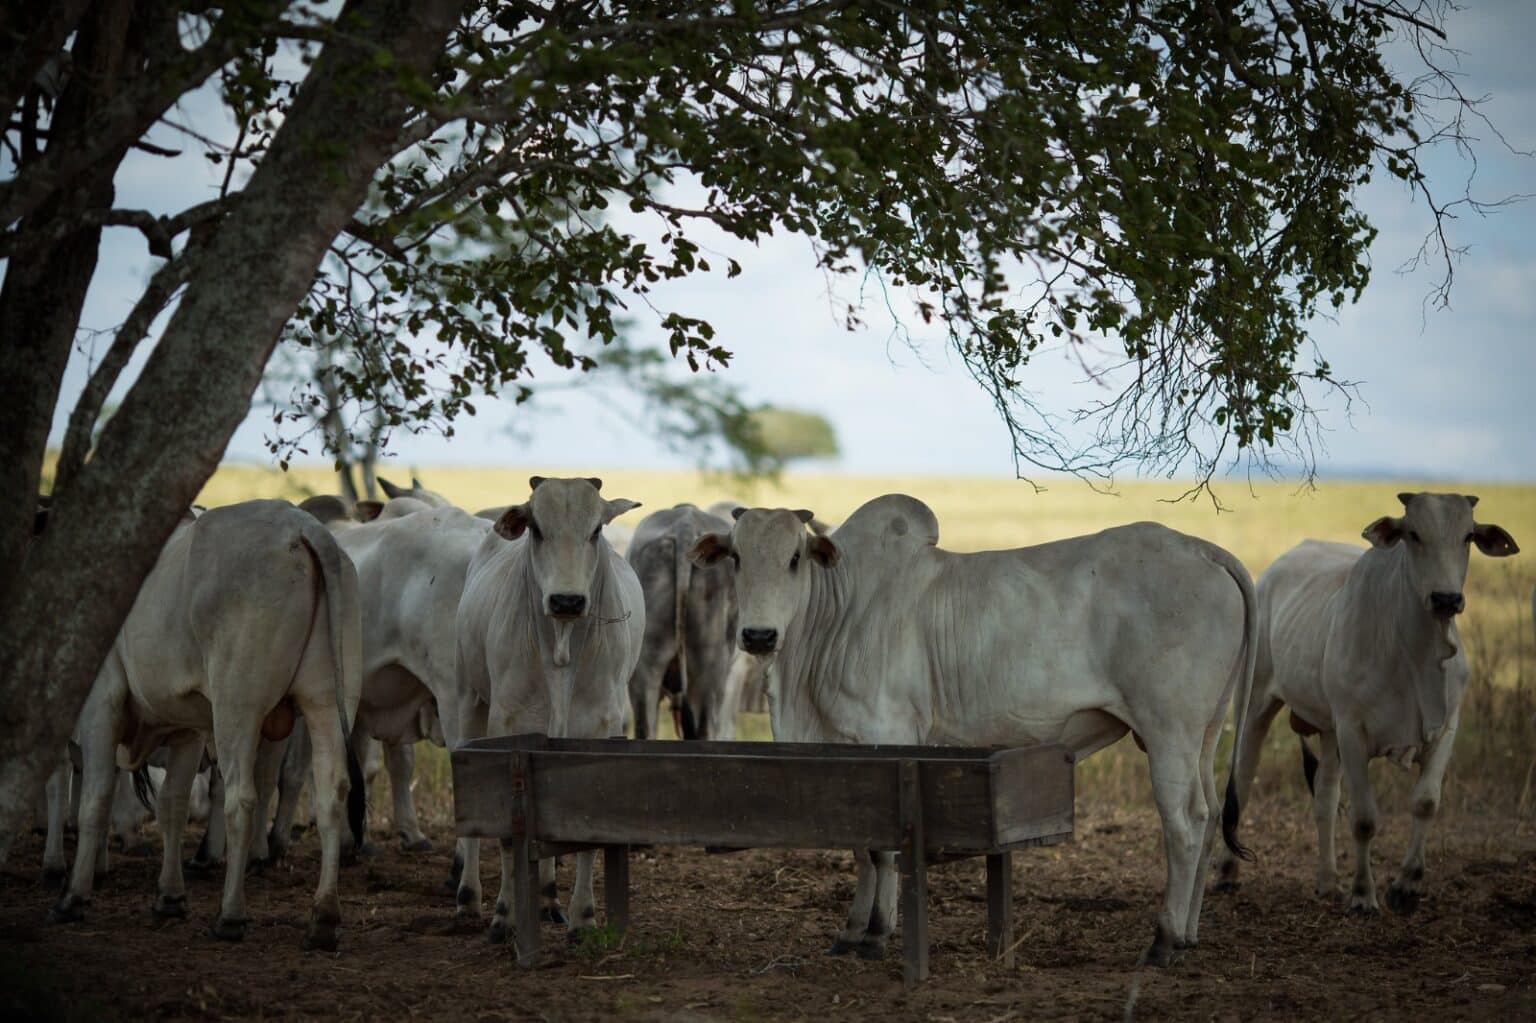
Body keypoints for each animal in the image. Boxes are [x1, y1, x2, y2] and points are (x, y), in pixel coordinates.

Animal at [48, 500, 365, 946]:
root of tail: (302, 528)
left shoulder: (100, 705)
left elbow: (96, 799)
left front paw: (74, 896)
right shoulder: (186, 728)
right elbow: (173, 805)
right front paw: (169, 896)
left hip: (237, 707)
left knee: (242, 798)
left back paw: (231, 914)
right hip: (327, 704)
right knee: (332, 793)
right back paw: (323, 916)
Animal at [454, 479, 648, 940]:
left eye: (596, 530)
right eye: (536, 529)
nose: (566, 601)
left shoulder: (597, 730)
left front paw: (583, 917)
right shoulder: (506, 727)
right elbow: (507, 834)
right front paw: (505, 915)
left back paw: (546, 901)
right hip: (466, 699)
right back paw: (468, 897)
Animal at [691, 494, 1253, 964]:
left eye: (794, 558)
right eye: (736, 557)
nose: (758, 635)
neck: (837, 615)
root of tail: (1202, 550)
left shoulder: (890, 735)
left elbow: (883, 848)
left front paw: (877, 934)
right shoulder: (844, 754)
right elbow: (859, 844)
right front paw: (851, 931)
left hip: (1169, 733)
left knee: (1183, 823)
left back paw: (1164, 940)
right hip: (1204, 735)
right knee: (1207, 816)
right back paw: (1188, 933)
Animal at [1216, 491, 1517, 909]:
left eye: (1468, 536)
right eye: (1413, 534)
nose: (1446, 599)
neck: (1416, 654)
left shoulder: (1446, 728)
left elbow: (1426, 802)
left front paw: (1406, 885)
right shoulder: (1352, 731)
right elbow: (1363, 819)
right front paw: (1363, 894)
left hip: (1328, 728)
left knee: (1325, 795)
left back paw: (1327, 881)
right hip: (1258, 703)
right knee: (1242, 780)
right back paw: (1228, 871)